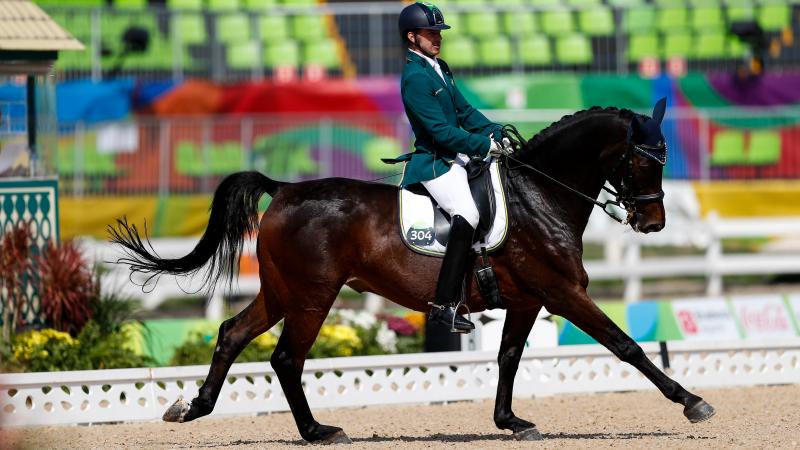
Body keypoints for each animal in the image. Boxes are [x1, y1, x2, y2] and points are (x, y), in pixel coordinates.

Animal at [109, 101, 716, 442]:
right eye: (644, 161)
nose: (654, 222)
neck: (539, 195)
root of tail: (283, 190)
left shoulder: (528, 299)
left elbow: (509, 356)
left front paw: (510, 421)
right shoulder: (562, 292)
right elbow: (625, 345)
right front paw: (692, 402)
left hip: (283, 292)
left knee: (232, 333)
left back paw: (193, 408)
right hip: (312, 295)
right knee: (285, 357)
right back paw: (317, 431)